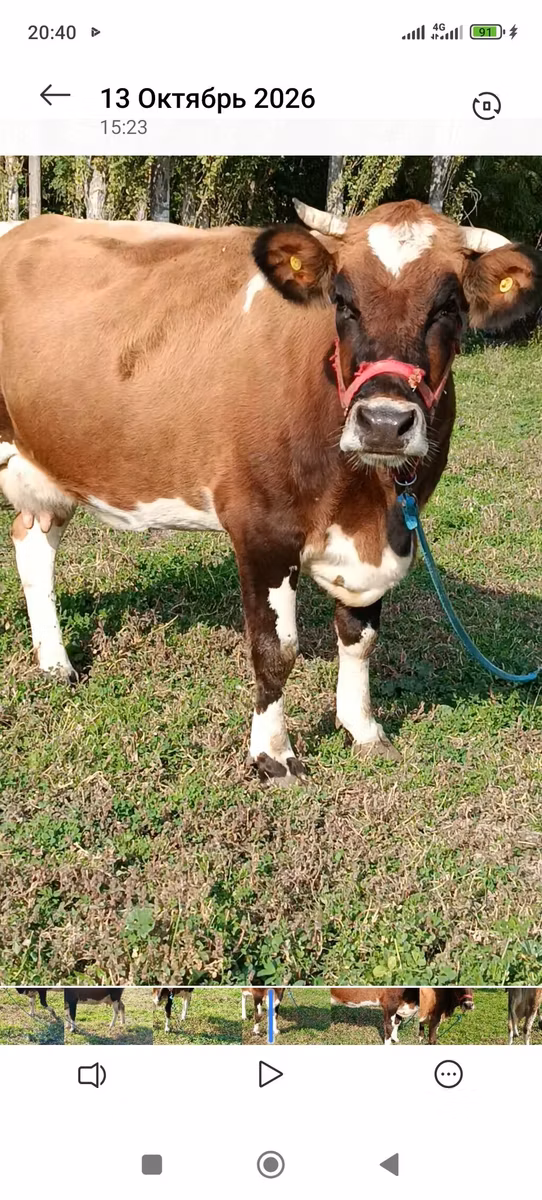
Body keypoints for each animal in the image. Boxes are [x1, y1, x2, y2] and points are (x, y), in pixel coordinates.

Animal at [1, 204, 540, 782]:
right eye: (342, 300)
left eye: (449, 306)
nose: (383, 422)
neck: (367, 503)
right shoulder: (262, 528)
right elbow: (276, 648)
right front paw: (273, 754)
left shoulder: (384, 534)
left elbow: (360, 635)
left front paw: (363, 730)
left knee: (32, 544)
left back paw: (55, 663)